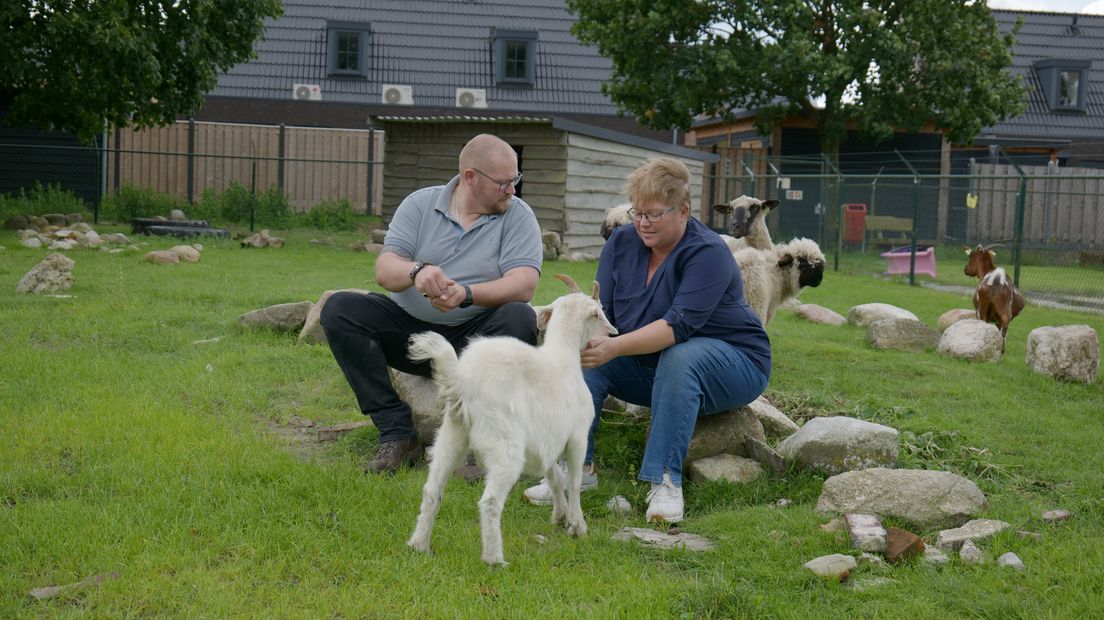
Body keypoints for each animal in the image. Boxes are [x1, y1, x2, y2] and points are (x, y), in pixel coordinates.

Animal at [406, 275, 617, 566]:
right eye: (598, 314)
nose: (609, 333)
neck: (563, 358)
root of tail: (464, 382)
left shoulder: (546, 441)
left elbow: (555, 478)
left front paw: (560, 517)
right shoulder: (577, 438)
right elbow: (573, 483)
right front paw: (577, 526)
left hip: (452, 434)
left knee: (431, 490)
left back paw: (420, 545)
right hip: (504, 444)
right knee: (490, 501)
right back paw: (494, 560)